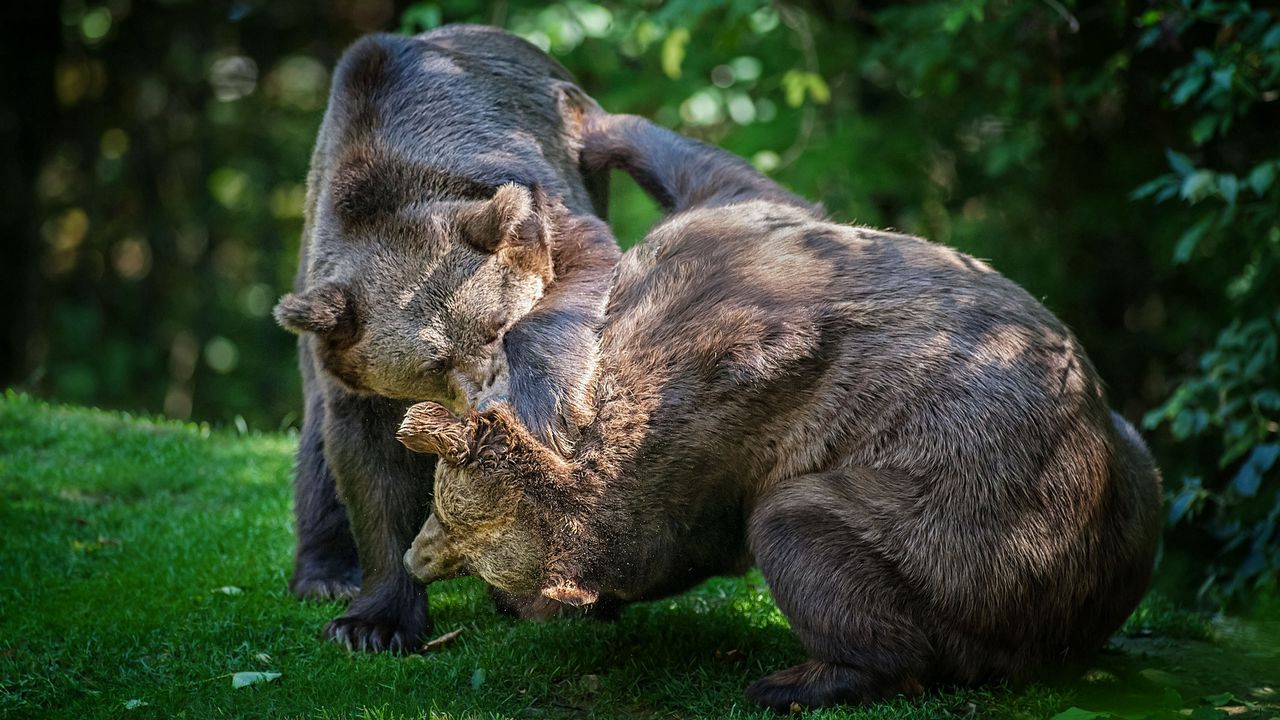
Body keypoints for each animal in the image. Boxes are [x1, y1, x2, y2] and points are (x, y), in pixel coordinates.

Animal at [273, 25, 619, 650]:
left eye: (499, 326)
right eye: (433, 364)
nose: (487, 403)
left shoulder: (539, 198)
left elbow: (580, 270)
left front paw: (544, 407)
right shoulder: (349, 360)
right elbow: (369, 467)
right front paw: (373, 622)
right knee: (314, 449)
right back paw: (325, 575)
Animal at [394, 112, 1167, 707]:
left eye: (460, 527)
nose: (417, 556)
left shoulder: (729, 380)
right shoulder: (742, 238)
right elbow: (736, 180)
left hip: (974, 518)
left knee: (807, 529)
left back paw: (800, 680)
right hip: (1126, 472)